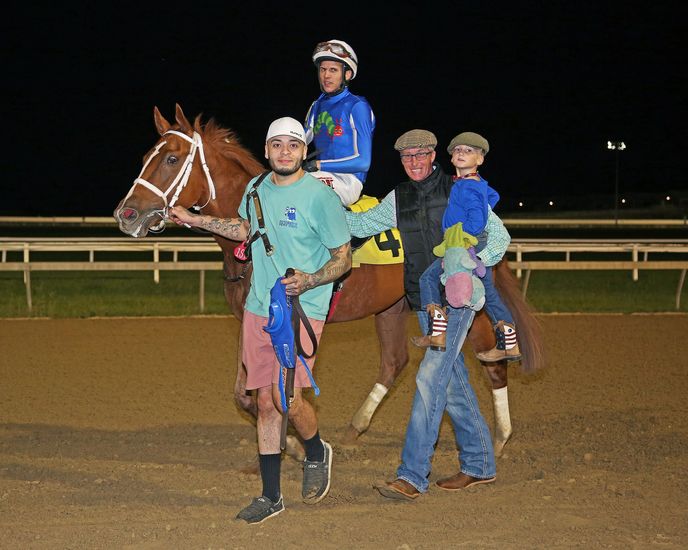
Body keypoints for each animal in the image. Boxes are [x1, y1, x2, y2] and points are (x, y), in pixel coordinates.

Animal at [114, 104, 544, 457]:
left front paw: (296, 443)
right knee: (394, 362)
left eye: (171, 158)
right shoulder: (251, 320)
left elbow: (281, 391)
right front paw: (289, 442)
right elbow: (244, 395)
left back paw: (500, 436)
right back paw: (357, 427)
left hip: (468, 305)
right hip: (392, 306)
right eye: (146, 158)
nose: (126, 214)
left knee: (490, 361)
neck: (255, 239)